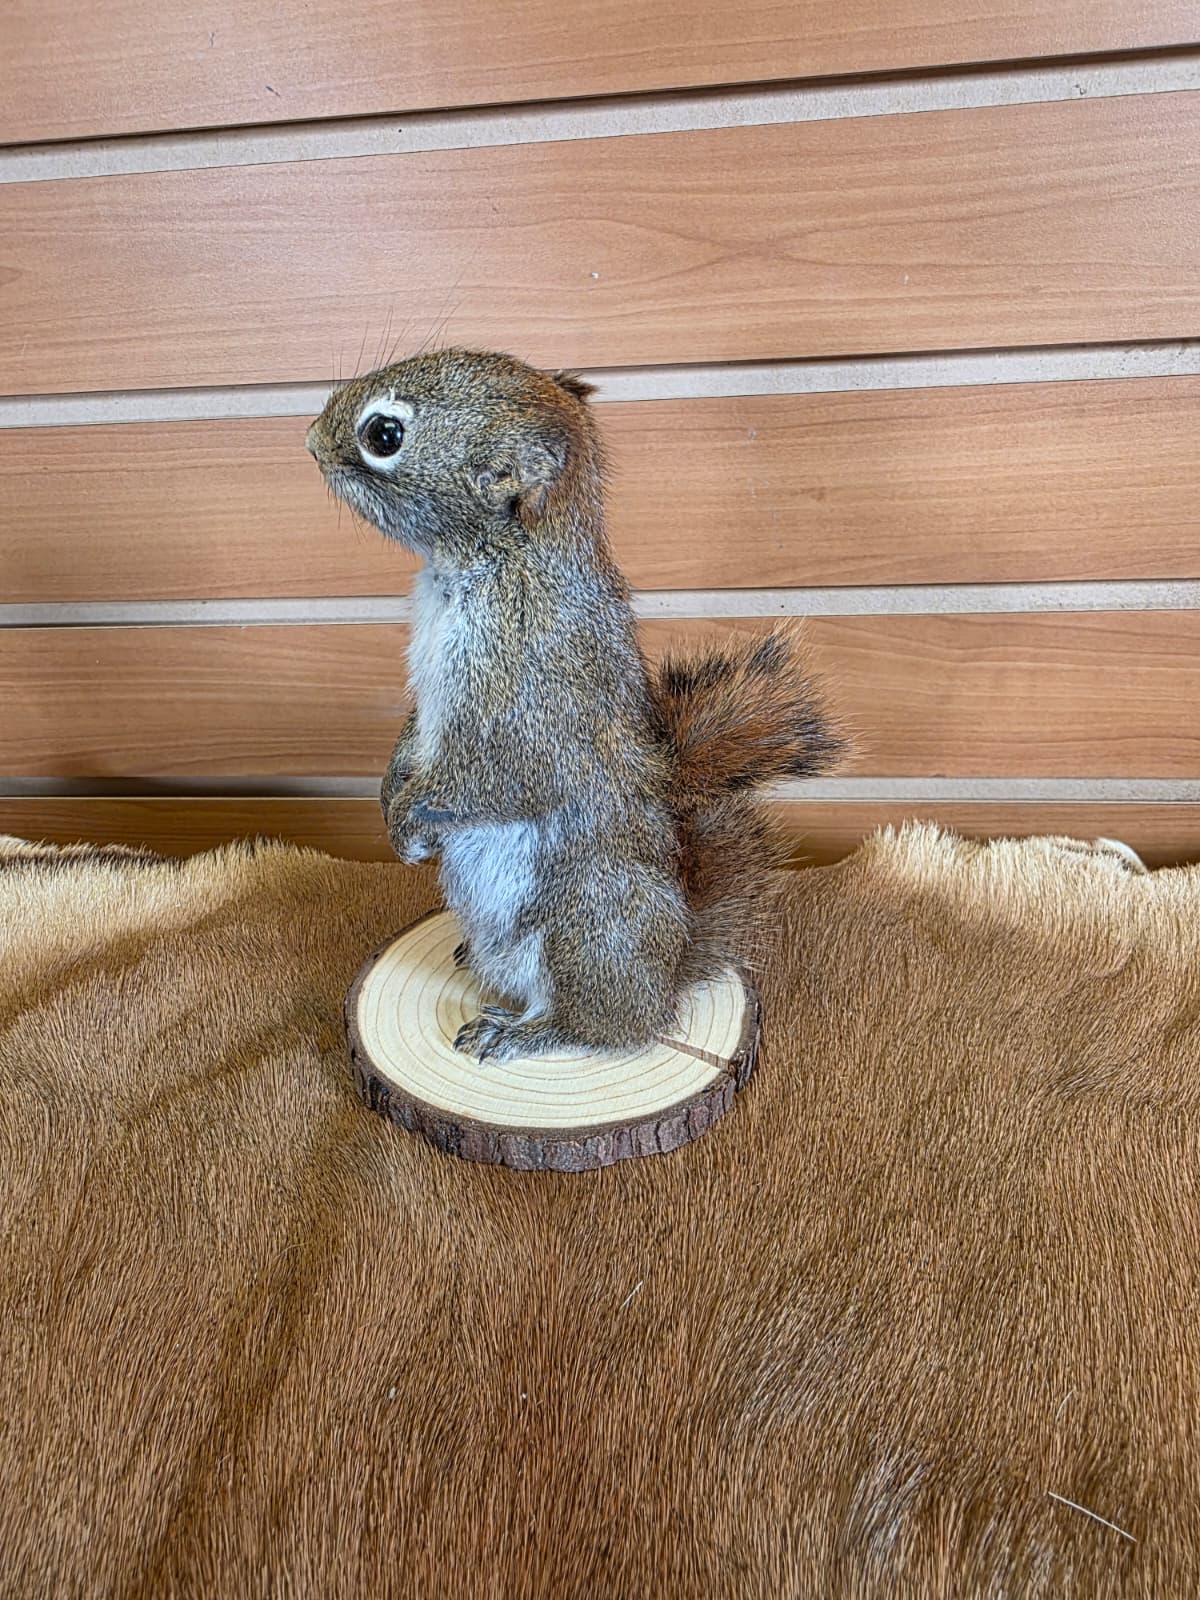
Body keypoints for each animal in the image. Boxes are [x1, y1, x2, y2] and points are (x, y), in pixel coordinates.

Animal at [306, 349, 843, 1061]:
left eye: (384, 435)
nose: (310, 441)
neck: (491, 561)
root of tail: (667, 979)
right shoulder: (431, 704)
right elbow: (412, 739)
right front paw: (391, 798)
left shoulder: (530, 700)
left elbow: (493, 777)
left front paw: (407, 825)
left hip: (587, 927)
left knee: (599, 1026)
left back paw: (523, 1031)